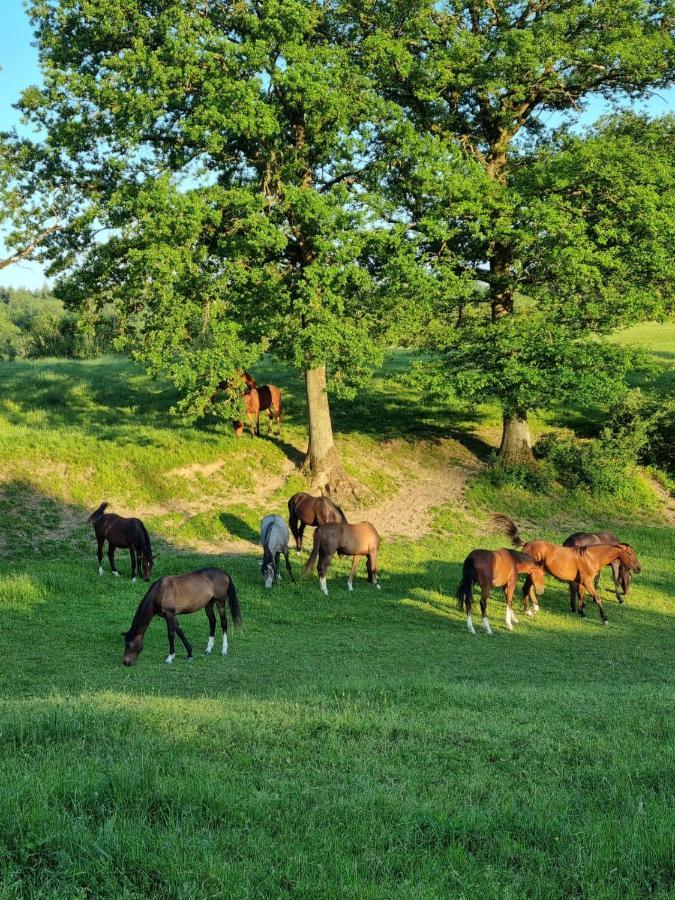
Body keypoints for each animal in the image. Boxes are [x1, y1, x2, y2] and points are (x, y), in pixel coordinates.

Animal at [488, 512, 640, 624]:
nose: (639, 568)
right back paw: (528, 611)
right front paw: (605, 618)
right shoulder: (588, 582)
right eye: (630, 554)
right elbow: (597, 597)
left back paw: (535, 607)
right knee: (525, 589)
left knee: (529, 589)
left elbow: (581, 596)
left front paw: (582, 612)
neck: (591, 557)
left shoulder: (581, 582)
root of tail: (527, 544)